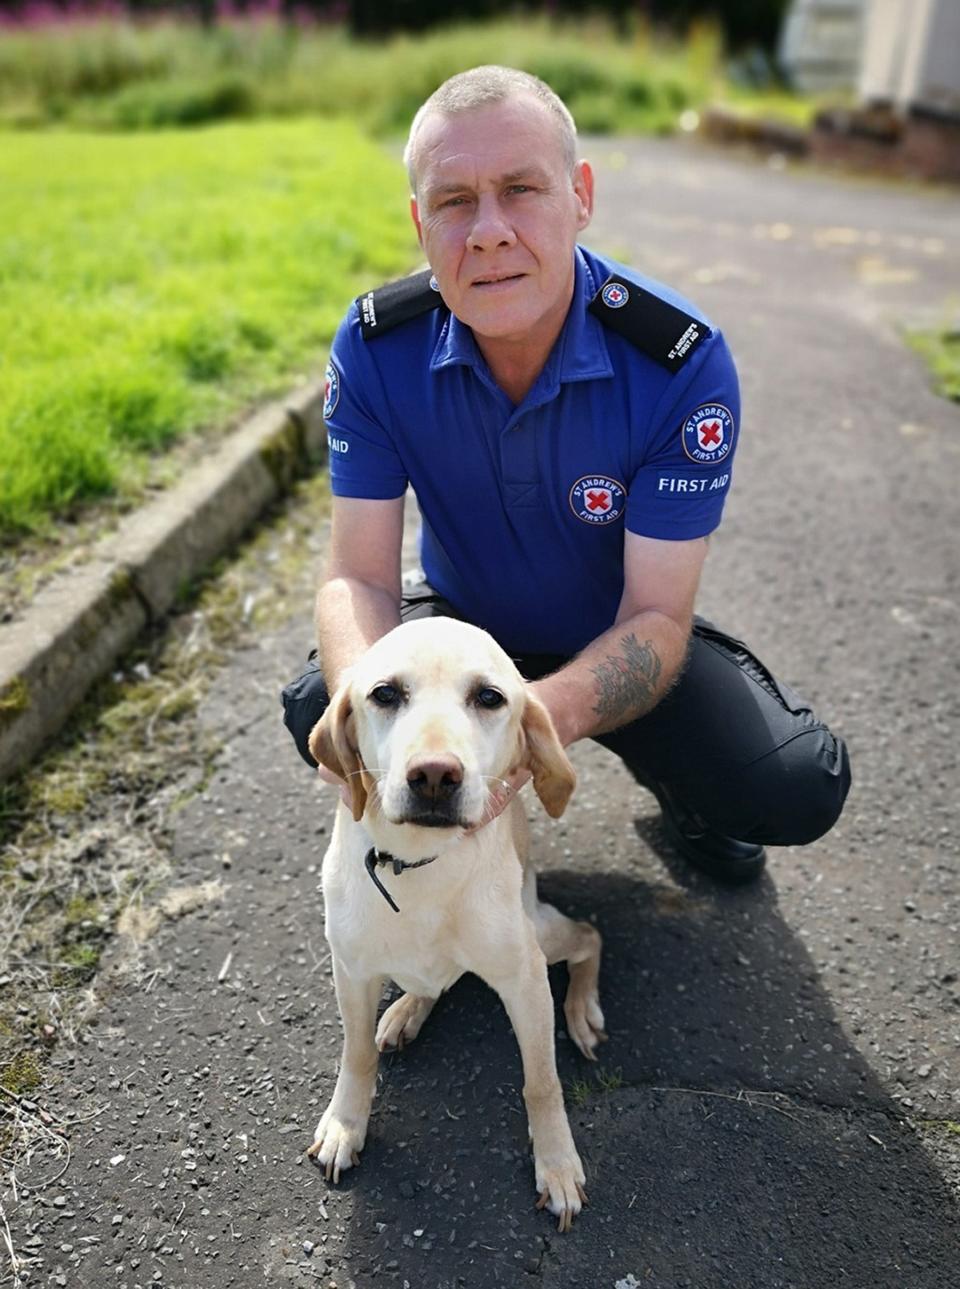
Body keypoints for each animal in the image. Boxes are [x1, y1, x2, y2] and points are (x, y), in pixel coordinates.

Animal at [306, 618, 603, 1232]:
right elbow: (357, 1054)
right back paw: (405, 1012)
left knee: (589, 934)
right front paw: (346, 1124)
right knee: (432, 983)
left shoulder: (525, 980)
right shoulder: (351, 969)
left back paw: (582, 1010)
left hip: (541, 933)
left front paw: (558, 1164)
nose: (435, 776)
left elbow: (542, 1082)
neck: (419, 864)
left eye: (489, 698)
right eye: (385, 694)